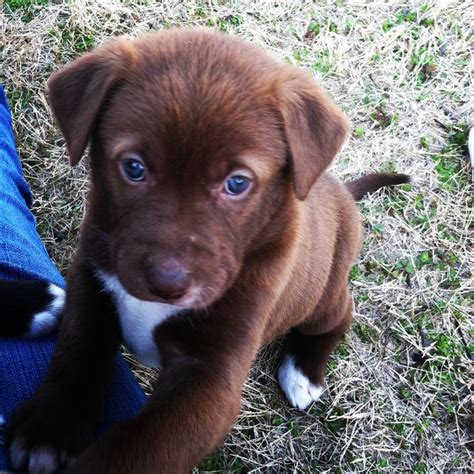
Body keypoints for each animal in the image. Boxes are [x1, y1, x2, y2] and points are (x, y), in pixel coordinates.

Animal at [6, 30, 408, 474]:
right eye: (133, 167)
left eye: (237, 183)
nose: (166, 283)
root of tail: (341, 190)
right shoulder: (91, 280)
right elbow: (78, 348)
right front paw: (50, 425)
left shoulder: (211, 377)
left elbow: (139, 448)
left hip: (323, 288)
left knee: (339, 315)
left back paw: (303, 372)